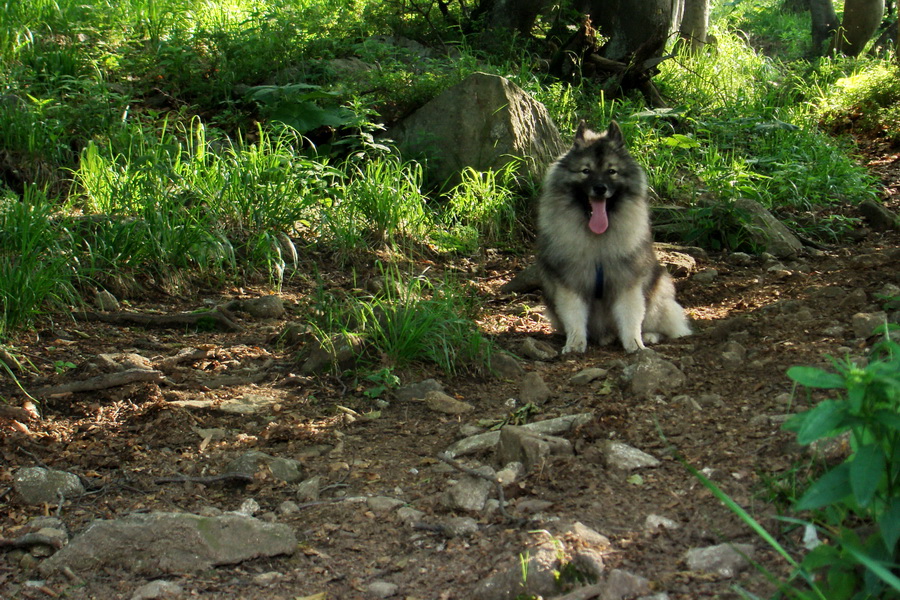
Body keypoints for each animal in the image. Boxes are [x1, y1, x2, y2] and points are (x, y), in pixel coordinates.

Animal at [536, 119, 692, 352]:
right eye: (586, 171)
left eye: (612, 171)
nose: (600, 188)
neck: (598, 238)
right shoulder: (570, 283)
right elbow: (574, 317)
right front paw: (574, 344)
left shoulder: (627, 282)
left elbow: (630, 317)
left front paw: (635, 344)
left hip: (659, 292)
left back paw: (649, 335)